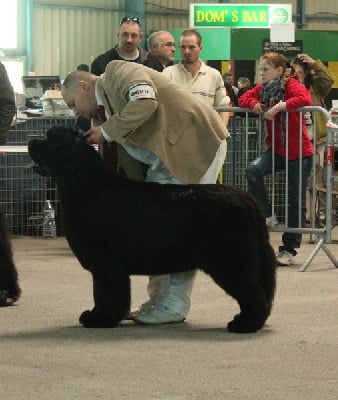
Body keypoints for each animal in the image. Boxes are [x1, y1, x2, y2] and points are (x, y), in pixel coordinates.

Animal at [29, 126, 276, 332]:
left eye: (50, 138)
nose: (31, 141)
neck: (84, 183)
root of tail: (249, 201)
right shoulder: (102, 267)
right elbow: (99, 293)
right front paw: (94, 315)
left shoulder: (107, 264)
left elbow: (108, 294)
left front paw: (102, 320)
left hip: (230, 260)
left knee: (253, 293)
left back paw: (245, 325)